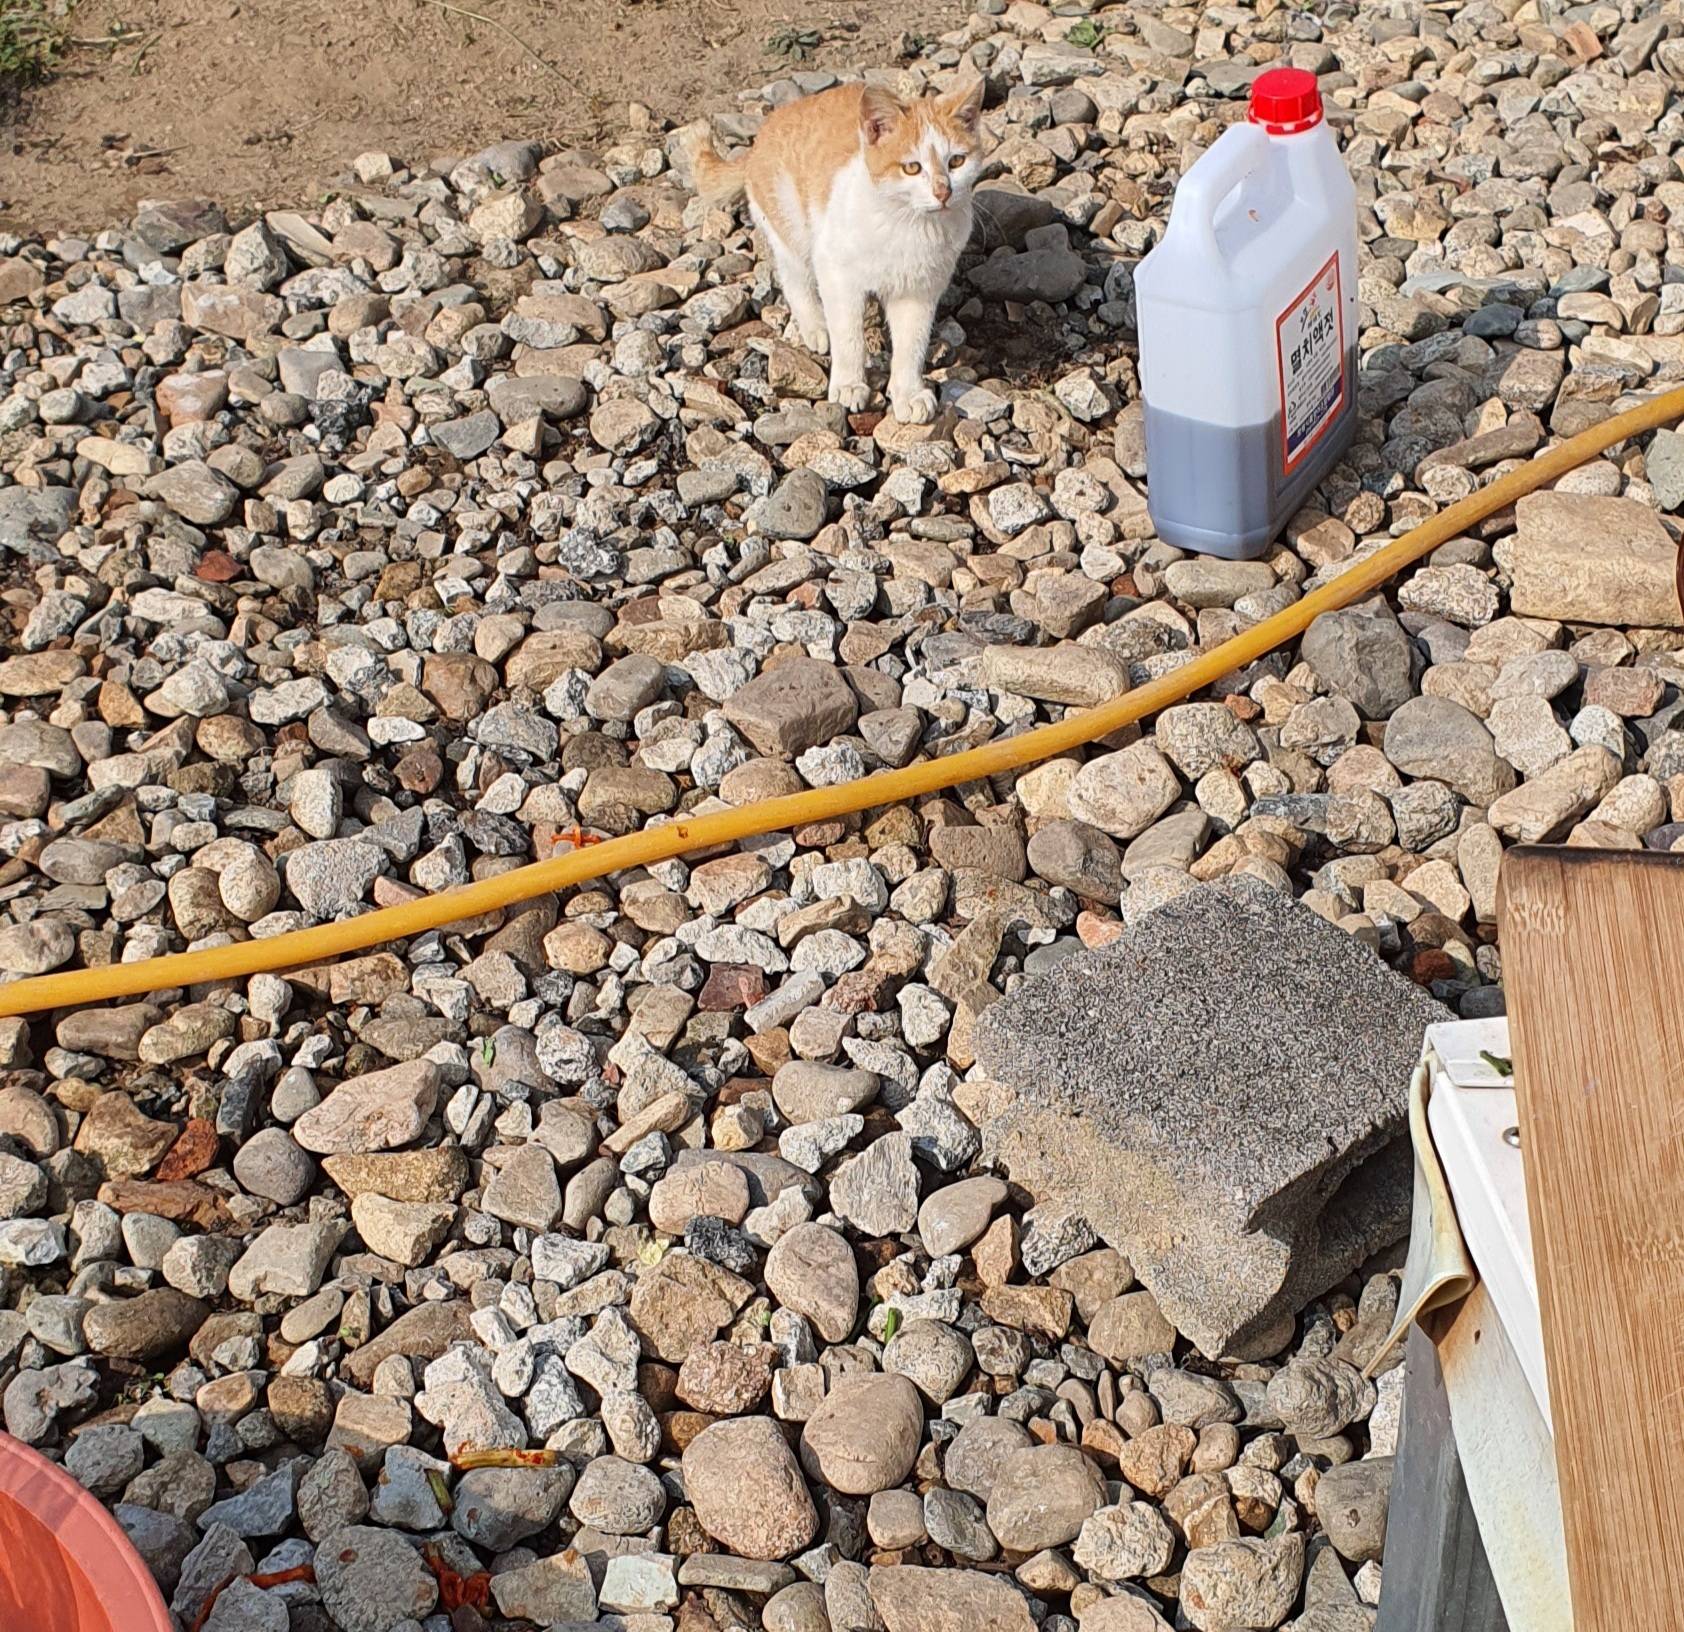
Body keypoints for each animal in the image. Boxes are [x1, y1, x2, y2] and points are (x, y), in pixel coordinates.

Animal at [690, 79, 983, 422]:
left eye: (956, 162)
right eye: (912, 167)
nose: (943, 191)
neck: (909, 225)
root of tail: (762, 132)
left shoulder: (919, 292)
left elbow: (911, 346)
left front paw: (908, 394)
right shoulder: (837, 275)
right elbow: (848, 337)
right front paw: (849, 385)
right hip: (791, 229)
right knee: (794, 279)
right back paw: (816, 327)